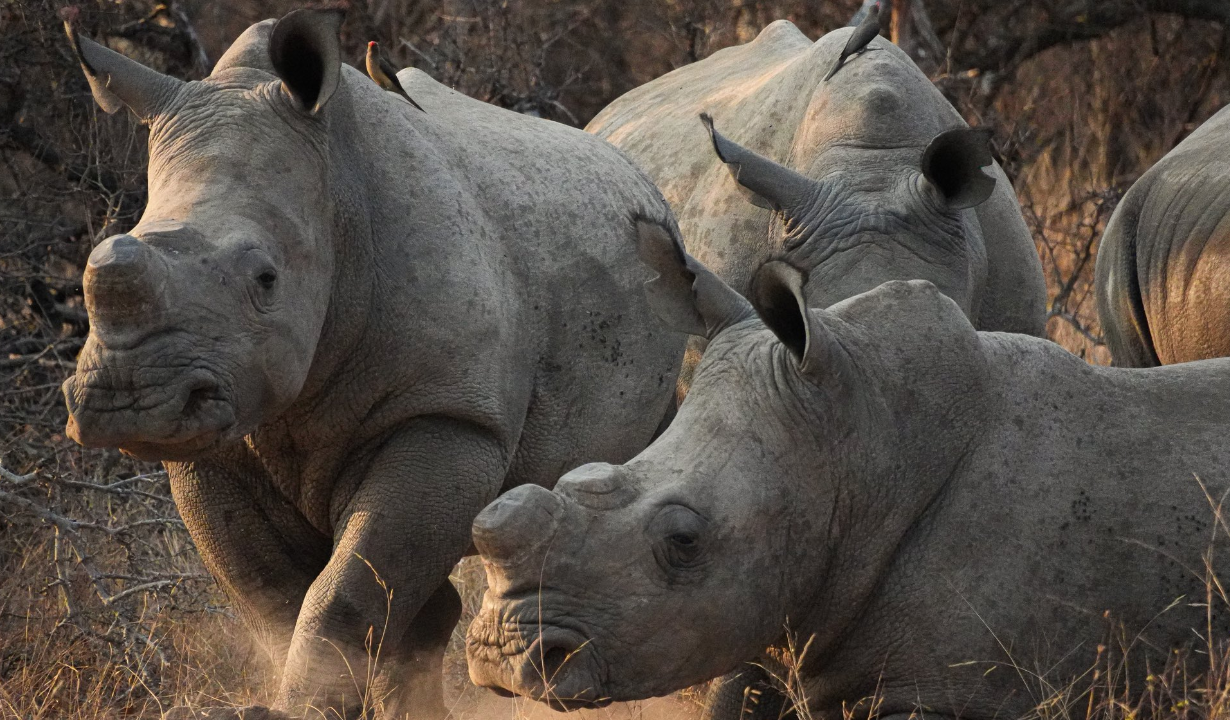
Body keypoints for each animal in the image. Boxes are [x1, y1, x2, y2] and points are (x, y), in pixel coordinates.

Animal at [61, 10, 685, 719]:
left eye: (266, 280)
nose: (126, 400)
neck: (337, 198)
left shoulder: (448, 415)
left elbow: (343, 595)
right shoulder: (214, 443)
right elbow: (278, 600)